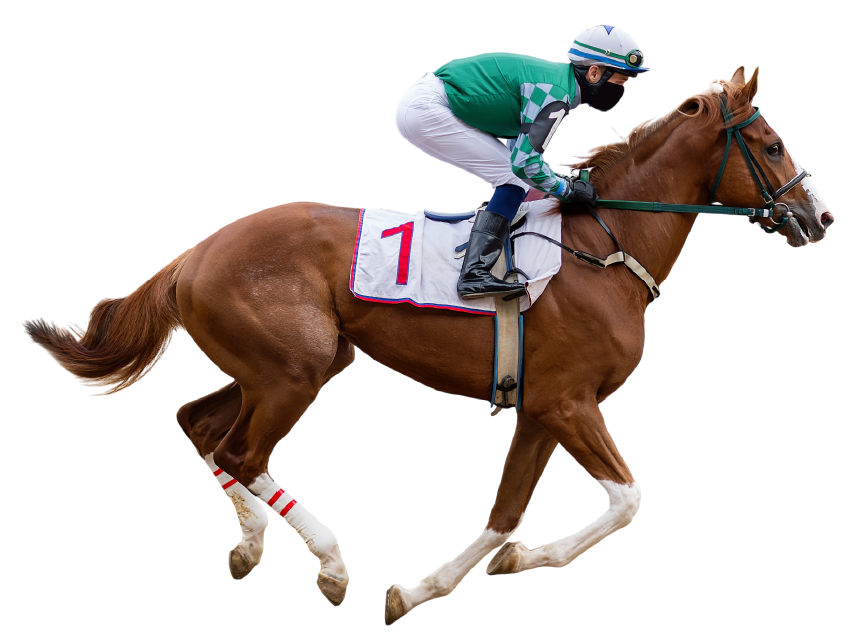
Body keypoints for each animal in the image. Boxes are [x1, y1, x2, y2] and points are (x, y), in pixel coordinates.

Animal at [22, 66, 834, 626]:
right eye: (770, 144)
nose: (820, 215)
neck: (603, 246)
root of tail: (195, 251)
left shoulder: (541, 409)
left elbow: (506, 512)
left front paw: (424, 588)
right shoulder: (568, 402)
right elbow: (628, 498)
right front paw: (515, 562)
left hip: (293, 364)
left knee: (198, 423)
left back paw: (249, 546)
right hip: (293, 372)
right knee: (240, 452)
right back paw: (332, 566)